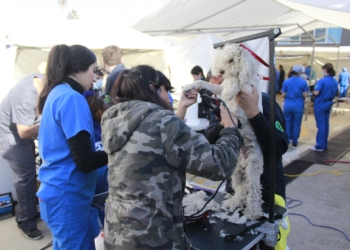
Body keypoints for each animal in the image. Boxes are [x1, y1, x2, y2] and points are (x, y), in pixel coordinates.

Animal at [183, 43, 262, 221]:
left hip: (252, 166)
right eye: (223, 59)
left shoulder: (247, 88)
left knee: (253, 189)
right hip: (236, 169)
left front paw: (229, 92)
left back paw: (253, 212)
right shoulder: (219, 86)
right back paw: (234, 202)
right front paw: (191, 86)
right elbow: (206, 84)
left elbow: (235, 81)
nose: (221, 72)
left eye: (232, 60)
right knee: (241, 189)